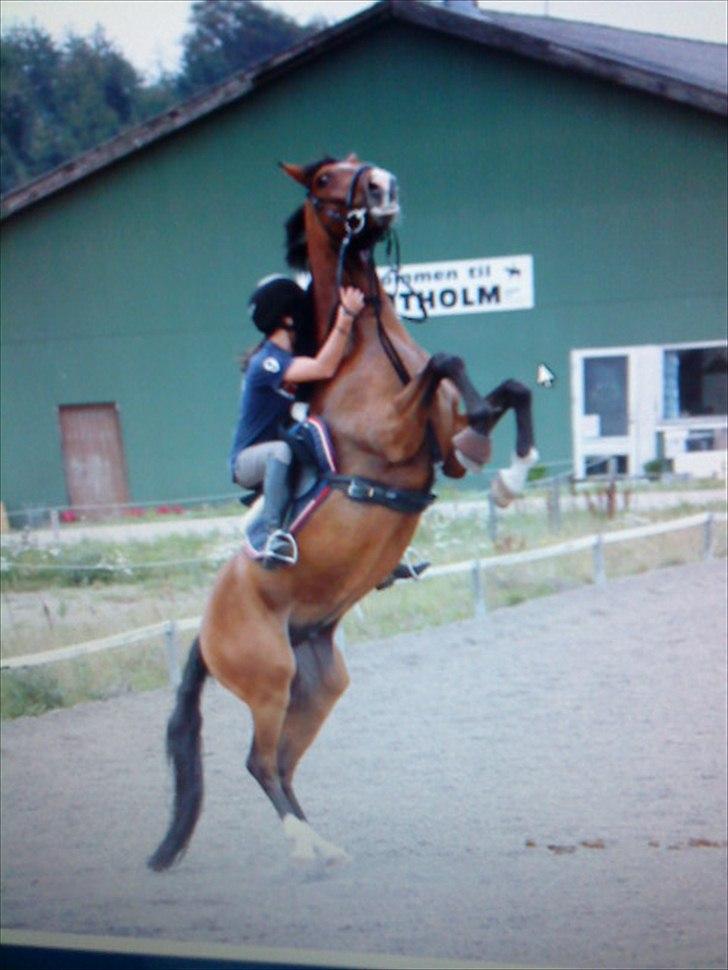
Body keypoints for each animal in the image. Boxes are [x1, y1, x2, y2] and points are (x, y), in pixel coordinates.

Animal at [148, 155, 536, 864]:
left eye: (358, 164)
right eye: (328, 177)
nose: (385, 188)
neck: (367, 350)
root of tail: (205, 633)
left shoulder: (441, 442)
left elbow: (506, 391)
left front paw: (511, 476)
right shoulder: (391, 434)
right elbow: (449, 362)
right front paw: (493, 453)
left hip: (318, 682)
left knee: (282, 764)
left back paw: (325, 846)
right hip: (269, 677)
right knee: (258, 762)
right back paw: (308, 849)